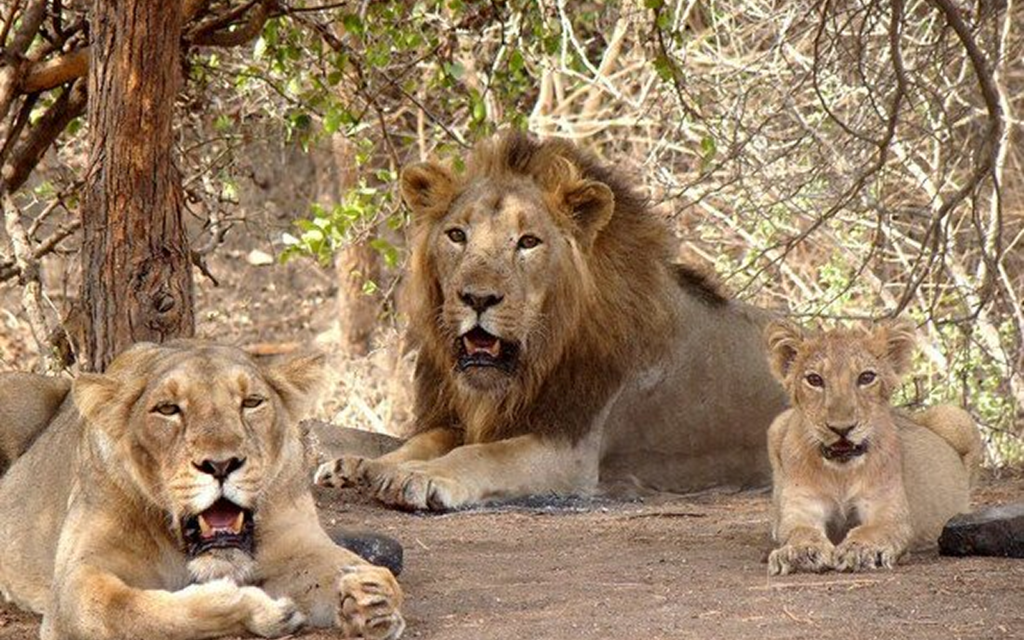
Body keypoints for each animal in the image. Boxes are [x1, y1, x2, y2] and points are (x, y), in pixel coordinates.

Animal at [0, 341, 404, 640]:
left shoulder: (297, 545)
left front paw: (372, 597)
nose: (221, 464)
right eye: (167, 409)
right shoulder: (75, 583)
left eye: (251, 402)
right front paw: (258, 609)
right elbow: (136, 613)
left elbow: (346, 567)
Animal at [314, 130, 788, 511]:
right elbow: (420, 441)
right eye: (456, 235)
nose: (477, 298)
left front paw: (418, 476)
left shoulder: (571, 449)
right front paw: (361, 465)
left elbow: (484, 455)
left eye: (528, 242)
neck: (533, 362)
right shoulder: (463, 418)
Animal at [763, 319, 981, 575]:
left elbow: (872, 530)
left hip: (955, 416)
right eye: (815, 380)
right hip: (777, 424)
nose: (842, 428)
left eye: (866, 377)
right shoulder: (802, 507)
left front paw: (862, 550)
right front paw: (800, 552)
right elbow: (800, 530)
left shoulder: (889, 512)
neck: (841, 475)